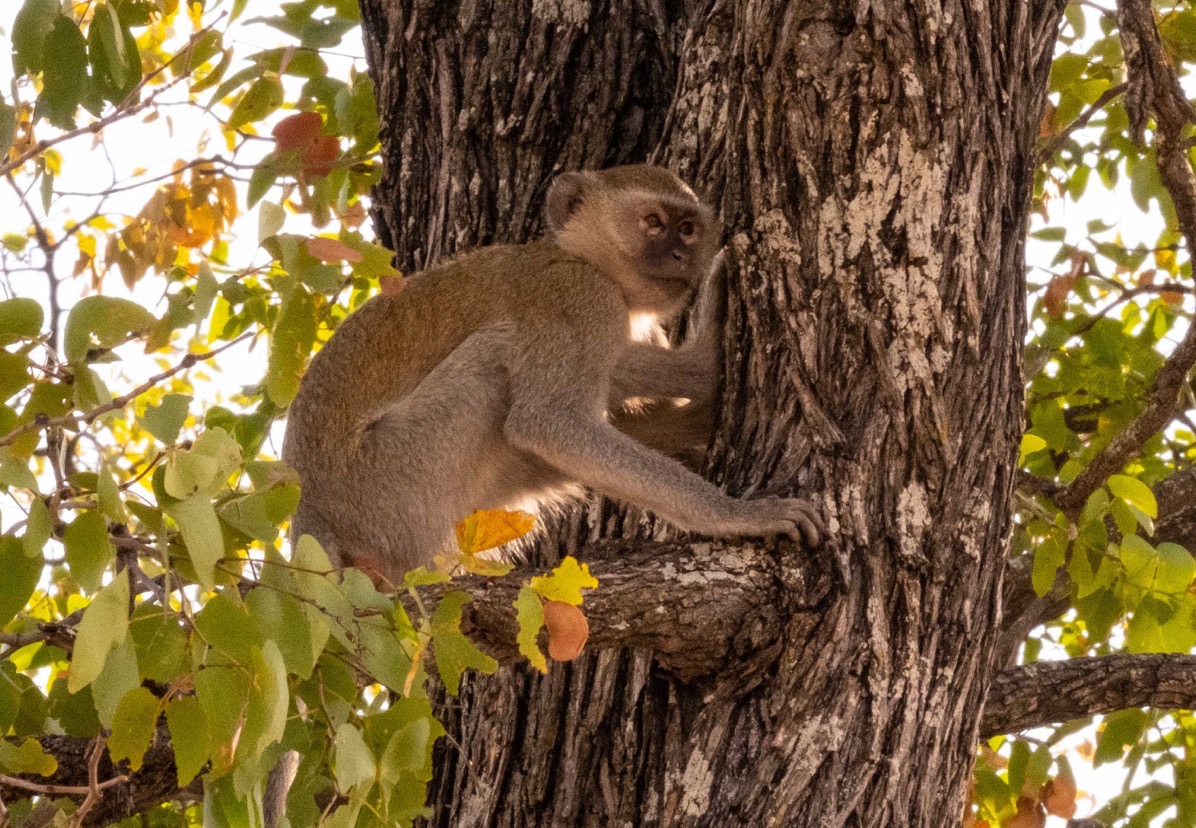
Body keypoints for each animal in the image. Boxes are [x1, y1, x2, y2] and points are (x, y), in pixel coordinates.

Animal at [279, 163, 822, 581]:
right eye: (653, 221)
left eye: (688, 228)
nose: (680, 255)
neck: (578, 257)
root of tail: (312, 516)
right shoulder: (580, 298)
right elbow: (548, 423)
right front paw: (740, 515)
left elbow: (611, 376)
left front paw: (696, 393)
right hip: (397, 485)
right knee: (495, 363)